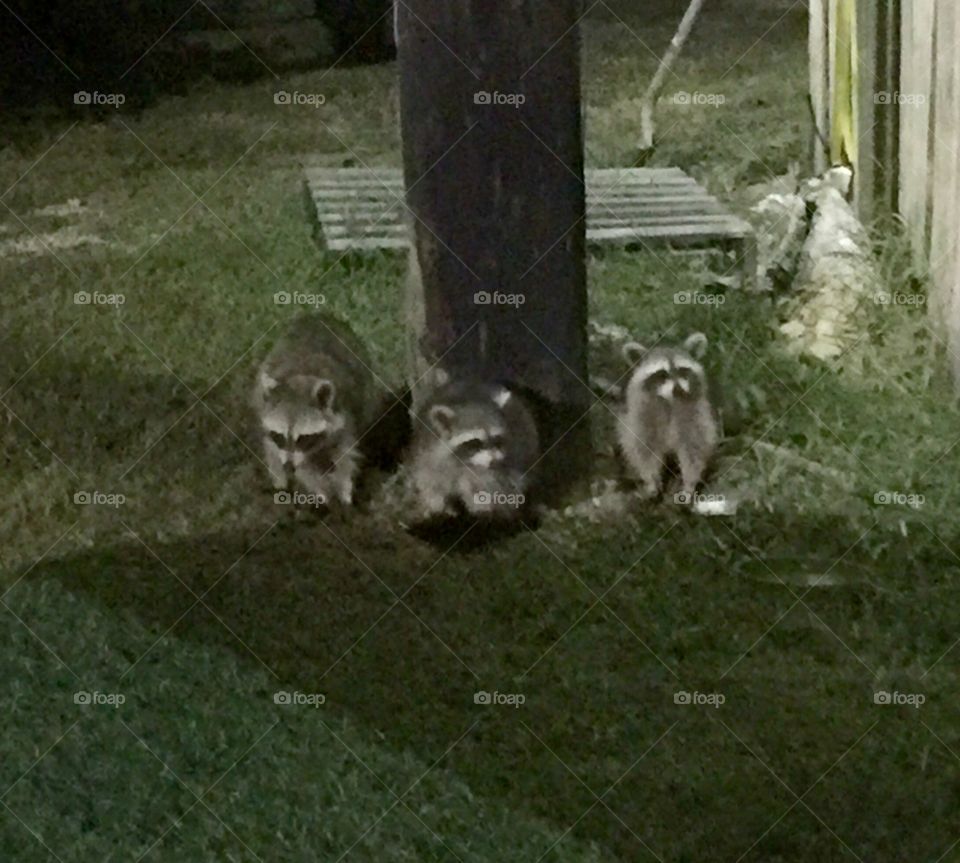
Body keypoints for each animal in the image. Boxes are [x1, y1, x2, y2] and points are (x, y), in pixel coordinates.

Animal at [251, 314, 376, 506]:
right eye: (279, 435)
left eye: (302, 438)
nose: (289, 467)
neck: (298, 380)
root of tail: (317, 315)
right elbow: (305, 469)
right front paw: (321, 494)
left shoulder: (345, 417)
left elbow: (346, 455)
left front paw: (344, 492)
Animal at [406, 372, 540, 520]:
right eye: (476, 442)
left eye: (496, 440)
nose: (494, 461)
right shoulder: (430, 451)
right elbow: (429, 479)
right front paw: (437, 505)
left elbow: (489, 487)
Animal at [620, 334, 716, 502]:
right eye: (662, 374)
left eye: (682, 370)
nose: (678, 390)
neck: (670, 401)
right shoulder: (643, 414)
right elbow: (643, 447)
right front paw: (651, 479)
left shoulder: (693, 412)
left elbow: (693, 445)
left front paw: (689, 482)